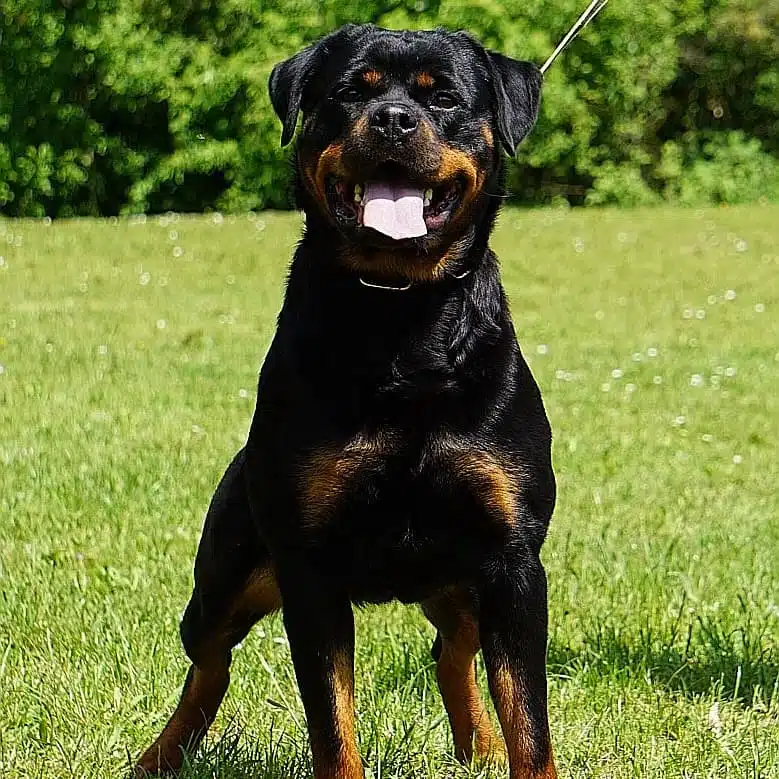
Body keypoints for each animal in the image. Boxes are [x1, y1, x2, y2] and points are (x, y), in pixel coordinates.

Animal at [136, 23, 556, 779]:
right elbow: (331, 724)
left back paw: (478, 744)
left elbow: (529, 725)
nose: (391, 119)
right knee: (207, 665)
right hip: (224, 577)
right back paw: (161, 754)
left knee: (452, 651)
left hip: (462, 580)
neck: (400, 316)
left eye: (443, 98)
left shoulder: (513, 563)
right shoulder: (310, 570)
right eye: (350, 93)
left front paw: (506, 744)